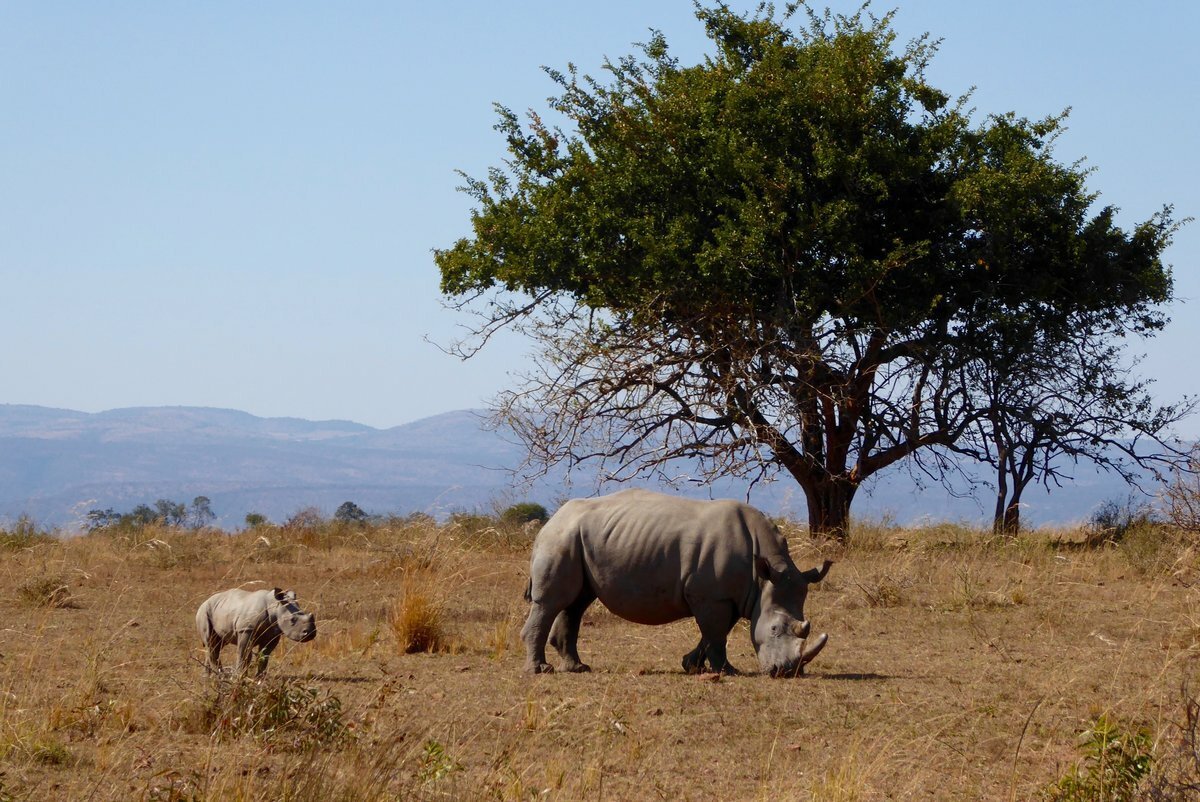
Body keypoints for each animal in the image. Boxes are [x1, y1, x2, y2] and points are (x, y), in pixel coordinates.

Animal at [520, 489, 830, 677]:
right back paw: (541, 670)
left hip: (577, 541)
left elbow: (716, 631)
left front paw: (692, 665)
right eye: (775, 629)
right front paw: (727, 671)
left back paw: (578, 668)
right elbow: (717, 634)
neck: (763, 576)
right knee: (552, 603)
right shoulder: (711, 595)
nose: (786, 672)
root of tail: (550, 521)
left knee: (576, 602)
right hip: (561, 539)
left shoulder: (729, 596)